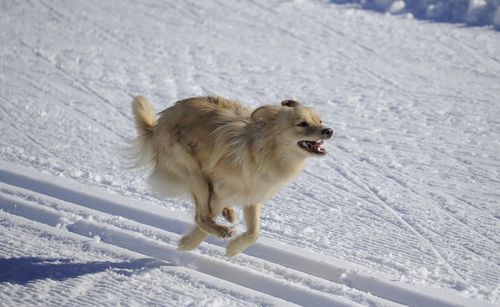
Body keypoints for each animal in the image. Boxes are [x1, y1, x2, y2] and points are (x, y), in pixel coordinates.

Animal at [130, 96, 332, 258]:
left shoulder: (253, 198)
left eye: (320, 120)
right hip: (193, 172)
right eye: (302, 123)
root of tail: (157, 127)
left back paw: (229, 213)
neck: (267, 152)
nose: (329, 130)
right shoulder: (219, 193)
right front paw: (188, 243)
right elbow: (203, 220)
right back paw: (220, 231)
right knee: (201, 216)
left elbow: (254, 233)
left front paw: (234, 249)